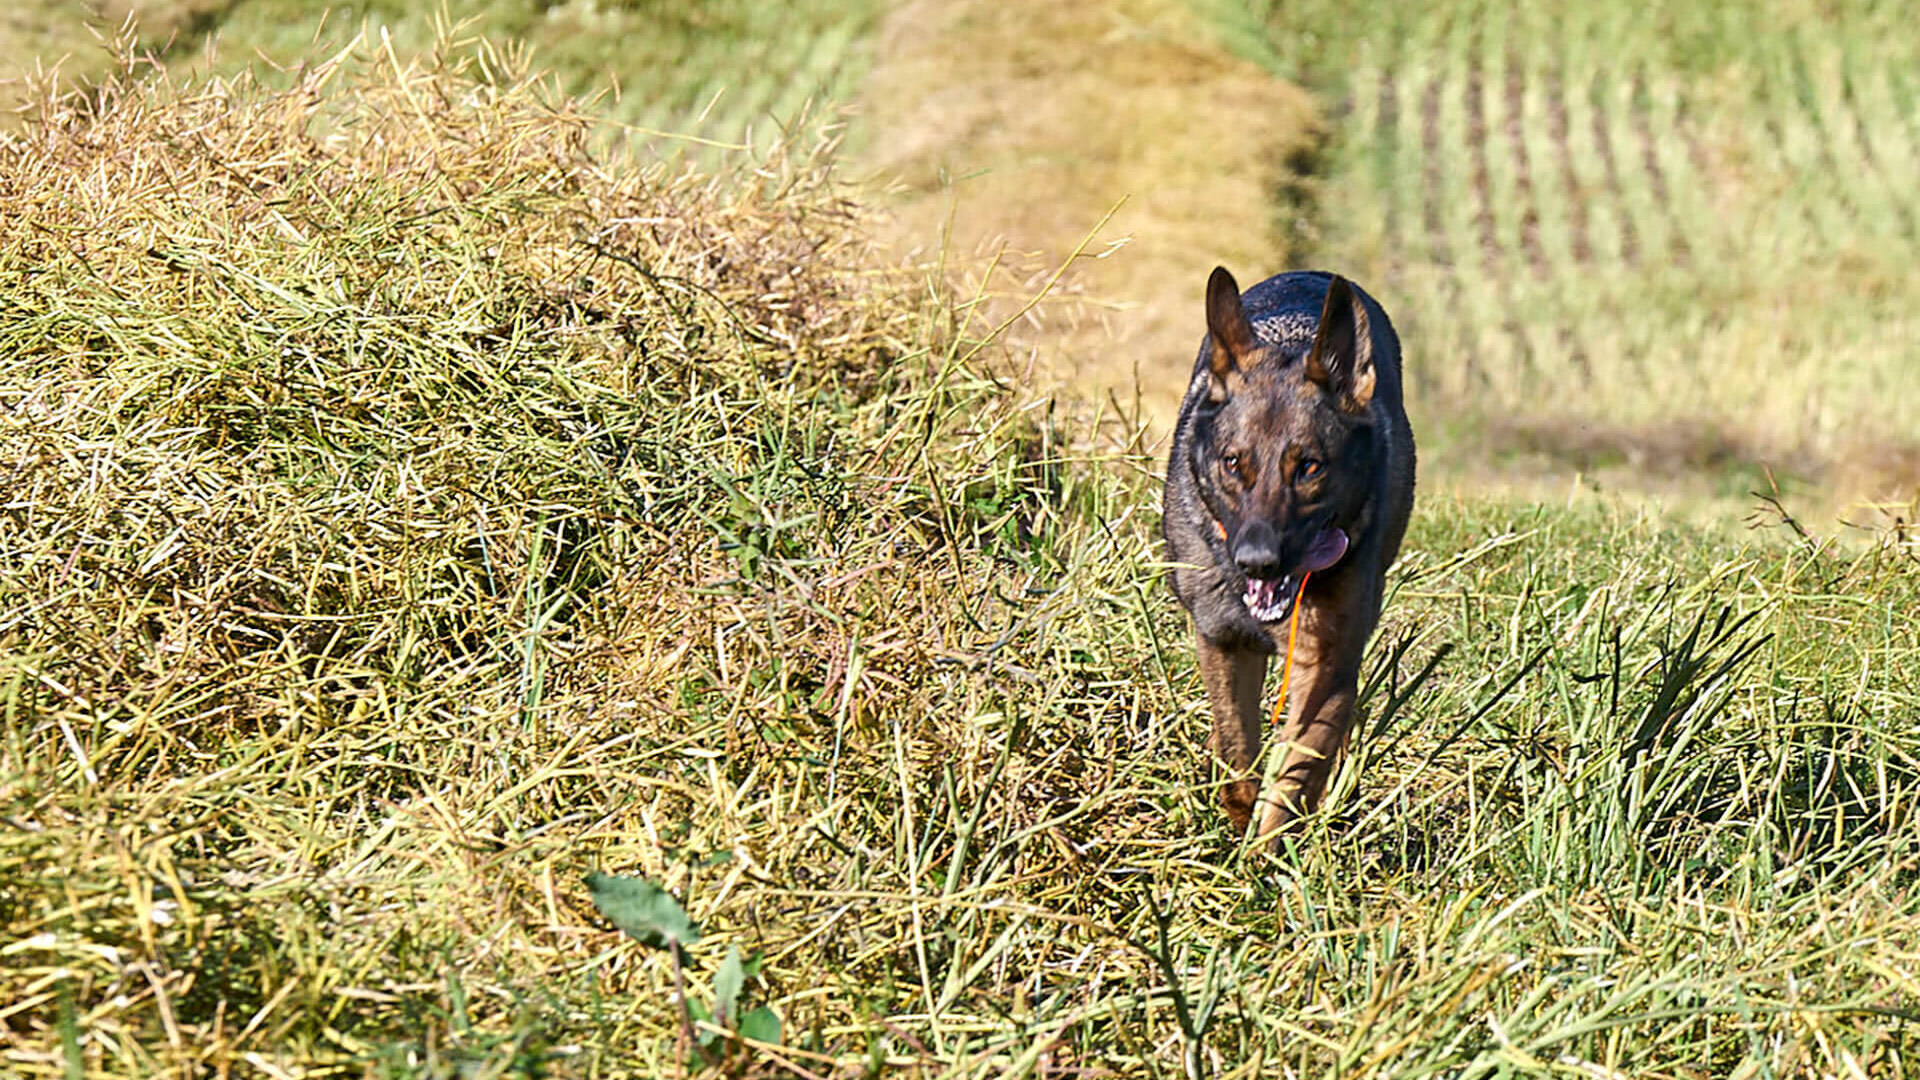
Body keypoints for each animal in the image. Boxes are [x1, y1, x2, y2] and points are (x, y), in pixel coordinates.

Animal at [1152, 265, 1413, 845]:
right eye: (1233, 463)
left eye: (1309, 467)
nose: (1257, 561)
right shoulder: (1221, 642)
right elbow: (1236, 761)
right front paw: (1241, 825)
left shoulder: (1326, 664)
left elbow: (1292, 779)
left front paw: (1265, 856)